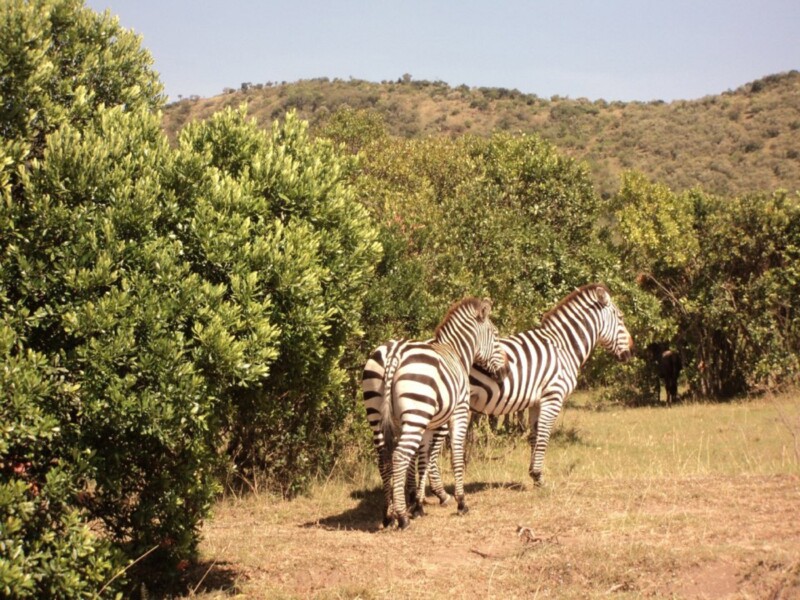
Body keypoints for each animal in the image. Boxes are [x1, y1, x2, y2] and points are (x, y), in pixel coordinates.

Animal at [361, 297, 508, 529]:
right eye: (495, 334)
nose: (504, 373)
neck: (456, 352)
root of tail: (395, 352)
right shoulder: (459, 412)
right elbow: (456, 454)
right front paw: (461, 502)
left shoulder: (426, 425)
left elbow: (423, 459)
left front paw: (418, 505)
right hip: (415, 413)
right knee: (399, 456)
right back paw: (402, 518)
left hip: (378, 413)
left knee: (384, 458)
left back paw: (387, 515)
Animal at [422, 284, 633, 497]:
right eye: (621, 317)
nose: (631, 352)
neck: (563, 347)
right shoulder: (553, 397)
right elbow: (544, 437)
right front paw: (540, 479)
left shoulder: (536, 402)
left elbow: (534, 437)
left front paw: (535, 477)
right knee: (432, 448)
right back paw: (438, 492)